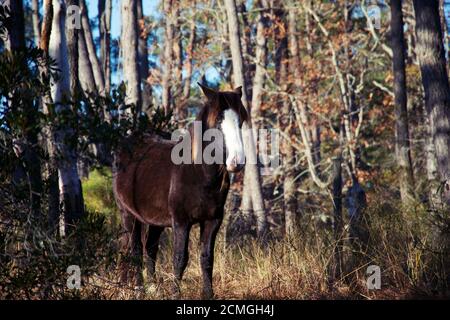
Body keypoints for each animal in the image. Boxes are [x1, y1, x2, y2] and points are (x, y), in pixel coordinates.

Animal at [111, 82, 248, 298]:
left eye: (241, 120)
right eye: (218, 120)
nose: (237, 162)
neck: (198, 173)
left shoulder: (212, 221)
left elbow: (207, 258)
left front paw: (208, 294)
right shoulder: (181, 222)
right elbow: (180, 259)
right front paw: (176, 293)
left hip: (155, 220)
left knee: (150, 247)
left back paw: (152, 287)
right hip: (128, 214)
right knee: (135, 250)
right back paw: (139, 289)